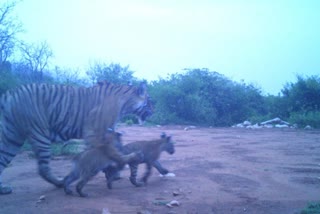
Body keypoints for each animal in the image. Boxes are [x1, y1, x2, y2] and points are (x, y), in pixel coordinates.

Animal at [0, 80, 153, 194]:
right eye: (149, 99)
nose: (153, 110)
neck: (125, 102)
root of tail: (11, 92)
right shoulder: (96, 132)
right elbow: (106, 153)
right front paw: (112, 172)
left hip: (12, 137)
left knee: (3, 159)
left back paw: (4, 189)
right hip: (39, 132)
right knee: (43, 168)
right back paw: (60, 182)